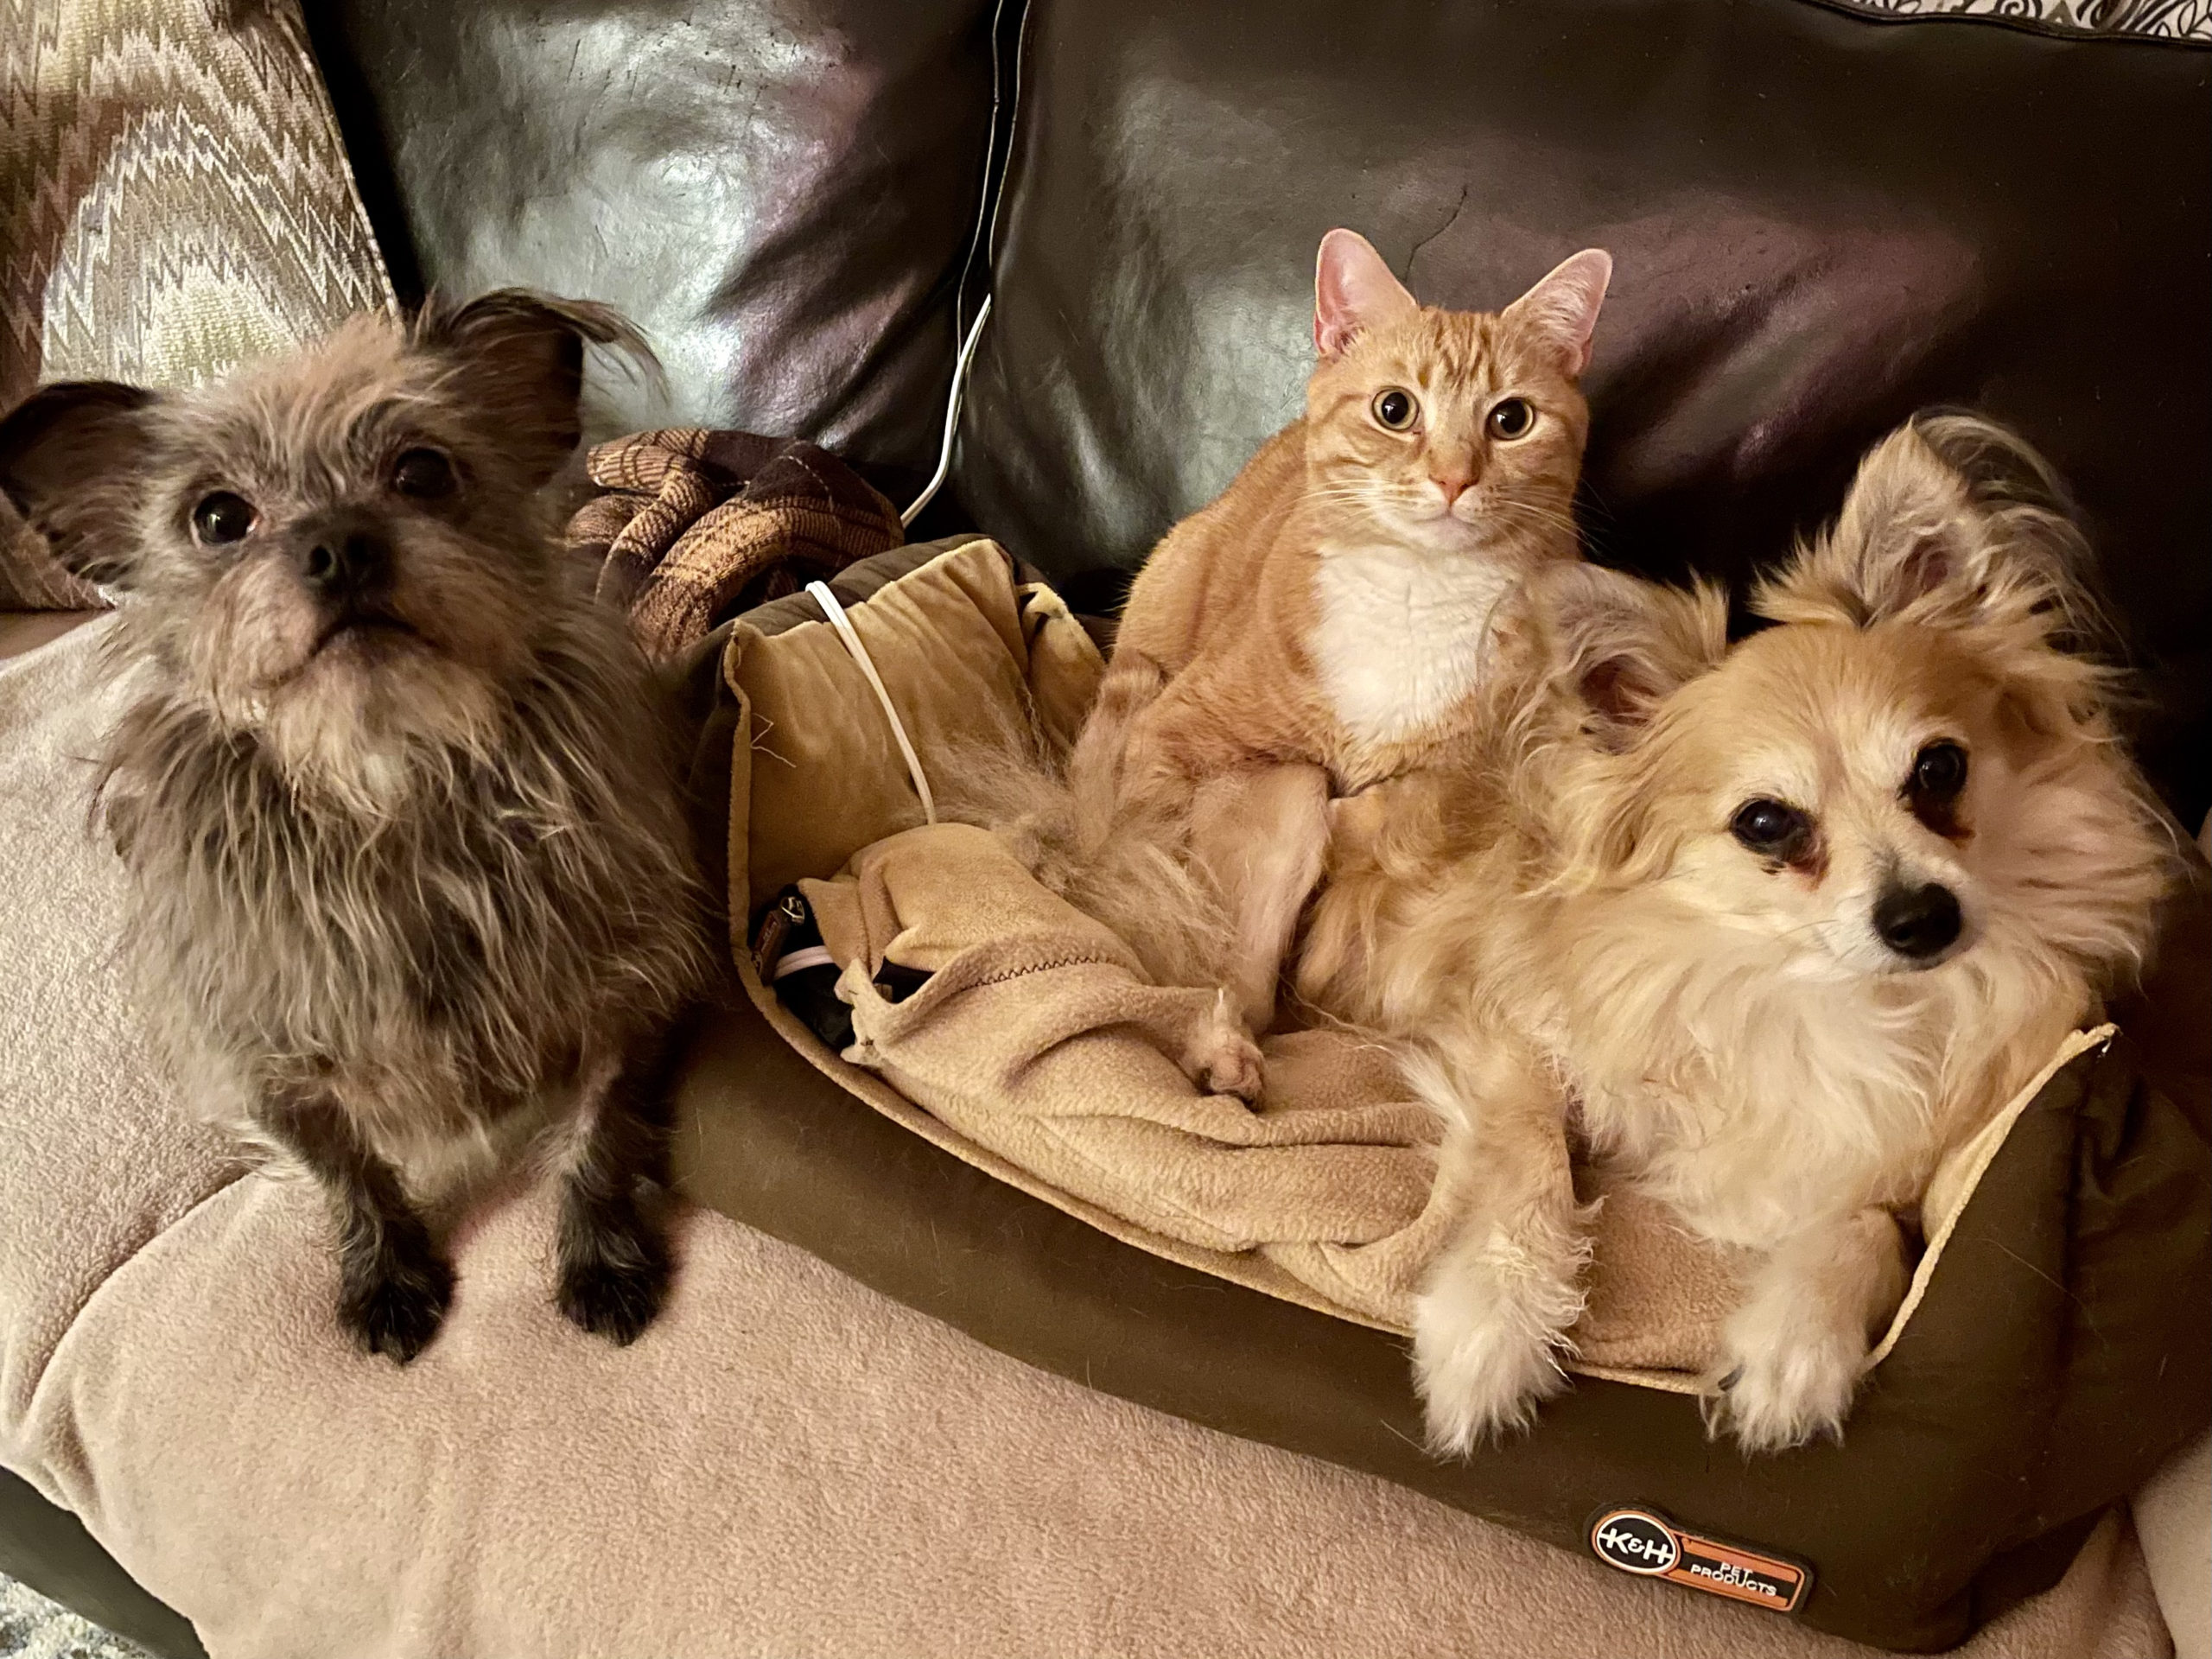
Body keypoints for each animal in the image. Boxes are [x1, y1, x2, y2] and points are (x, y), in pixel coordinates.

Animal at [0, 296, 708, 1362]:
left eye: (422, 470)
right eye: (218, 518)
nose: (339, 545)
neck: (387, 781)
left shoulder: (635, 987)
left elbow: (601, 1128)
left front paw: (602, 1256)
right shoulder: (258, 1057)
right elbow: (343, 1167)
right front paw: (384, 1273)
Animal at [1106, 227, 1610, 1035]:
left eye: (1512, 420)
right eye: (1394, 409)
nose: (1453, 478)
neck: (1413, 591)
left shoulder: (1501, 760)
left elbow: (1421, 807)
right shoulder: (1174, 727)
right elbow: (1147, 839)